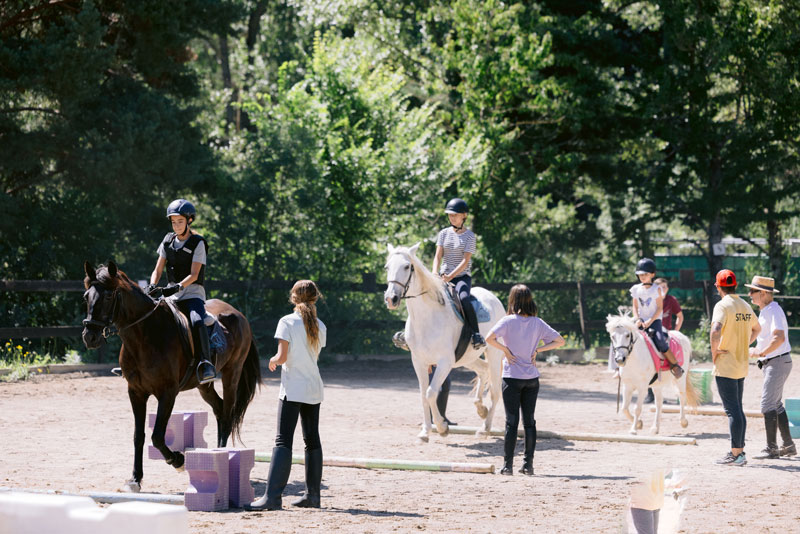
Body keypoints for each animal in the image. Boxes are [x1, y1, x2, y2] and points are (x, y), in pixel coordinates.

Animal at [83, 262, 260, 492]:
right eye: (86, 296)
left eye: (107, 296)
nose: (89, 337)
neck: (146, 334)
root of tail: (239, 314)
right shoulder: (136, 392)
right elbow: (138, 436)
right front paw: (135, 479)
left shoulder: (167, 393)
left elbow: (157, 436)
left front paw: (178, 460)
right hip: (204, 386)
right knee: (220, 409)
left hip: (232, 374)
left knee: (228, 413)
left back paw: (222, 455)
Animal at [384, 244, 504, 444]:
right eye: (387, 267)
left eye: (407, 267)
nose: (391, 299)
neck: (427, 318)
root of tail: (494, 299)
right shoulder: (419, 362)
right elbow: (423, 395)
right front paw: (425, 432)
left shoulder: (444, 362)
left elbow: (431, 392)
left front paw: (442, 427)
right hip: (467, 358)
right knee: (483, 370)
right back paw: (480, 409)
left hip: (494, 354)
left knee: (495, 391)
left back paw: (484, 428)